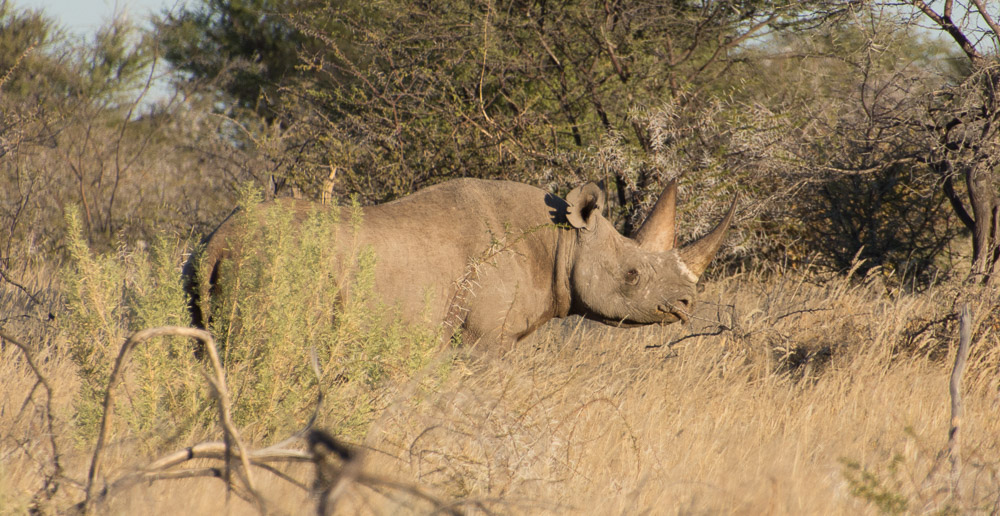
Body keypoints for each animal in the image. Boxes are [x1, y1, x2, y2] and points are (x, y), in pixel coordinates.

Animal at [188, 178, 734, 349]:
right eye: (632, 274)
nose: (687, 305)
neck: (563, 244)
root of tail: (219, 241)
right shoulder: (486, 338)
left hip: (206, 265)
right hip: (276, 263)